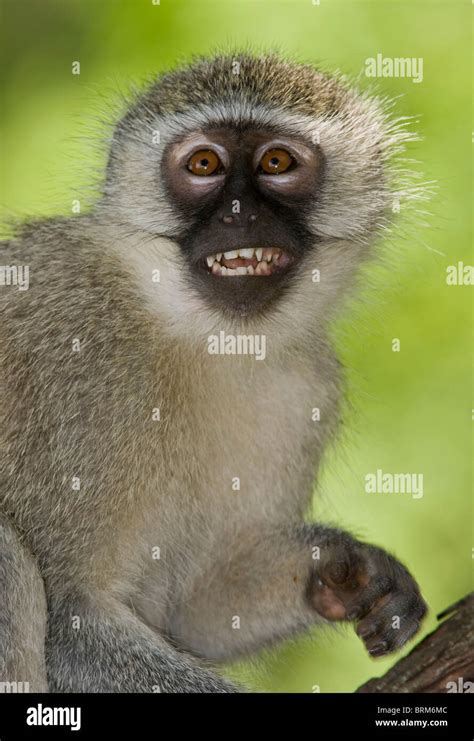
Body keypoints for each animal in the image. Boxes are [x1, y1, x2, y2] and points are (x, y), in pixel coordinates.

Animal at [0, 53, 428, 692]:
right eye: (204, 164)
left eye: (277, 163)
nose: (238, 214)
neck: (197, 333)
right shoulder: (71, 355)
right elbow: (75, 621)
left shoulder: (305, 390)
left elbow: (200, 611)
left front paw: (347, 570)